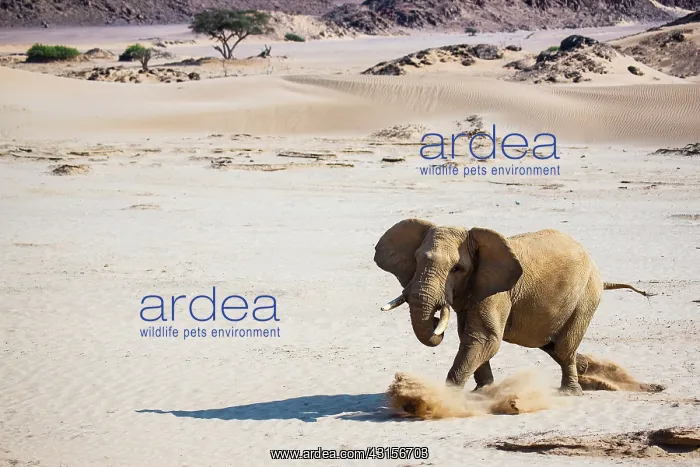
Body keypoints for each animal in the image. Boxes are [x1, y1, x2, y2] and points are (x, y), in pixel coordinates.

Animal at [373, 218, 652, 396]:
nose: (435, 317)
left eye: (457, 269)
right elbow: (472, 338)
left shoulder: (498, 292)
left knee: (564, 347)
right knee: (551, 345)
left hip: (586, 296)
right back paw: (586, 372)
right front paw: (484, 391)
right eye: (416, 259)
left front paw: (445, 400)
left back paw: (570, 393)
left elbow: (483, 339)